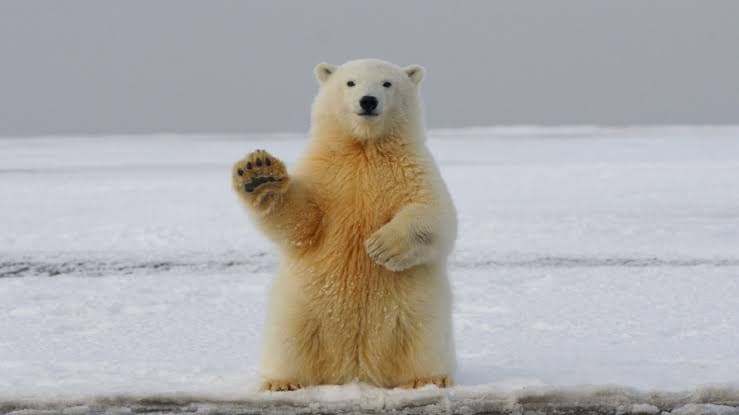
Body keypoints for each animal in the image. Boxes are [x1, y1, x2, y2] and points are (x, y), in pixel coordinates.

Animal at [232, 59, 457, 391]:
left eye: (387, 83)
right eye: (350, 82)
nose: (368, 101)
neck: (364, 148)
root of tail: (355, 369)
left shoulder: (413, 170)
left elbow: (436, 214)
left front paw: (381, 246)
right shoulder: (326, 175)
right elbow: (302, 221)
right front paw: (259, 173)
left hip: (419, 310)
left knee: (423, 340)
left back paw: (427, 379)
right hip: (301, 308)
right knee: (289, 341)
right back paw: (281, 382)